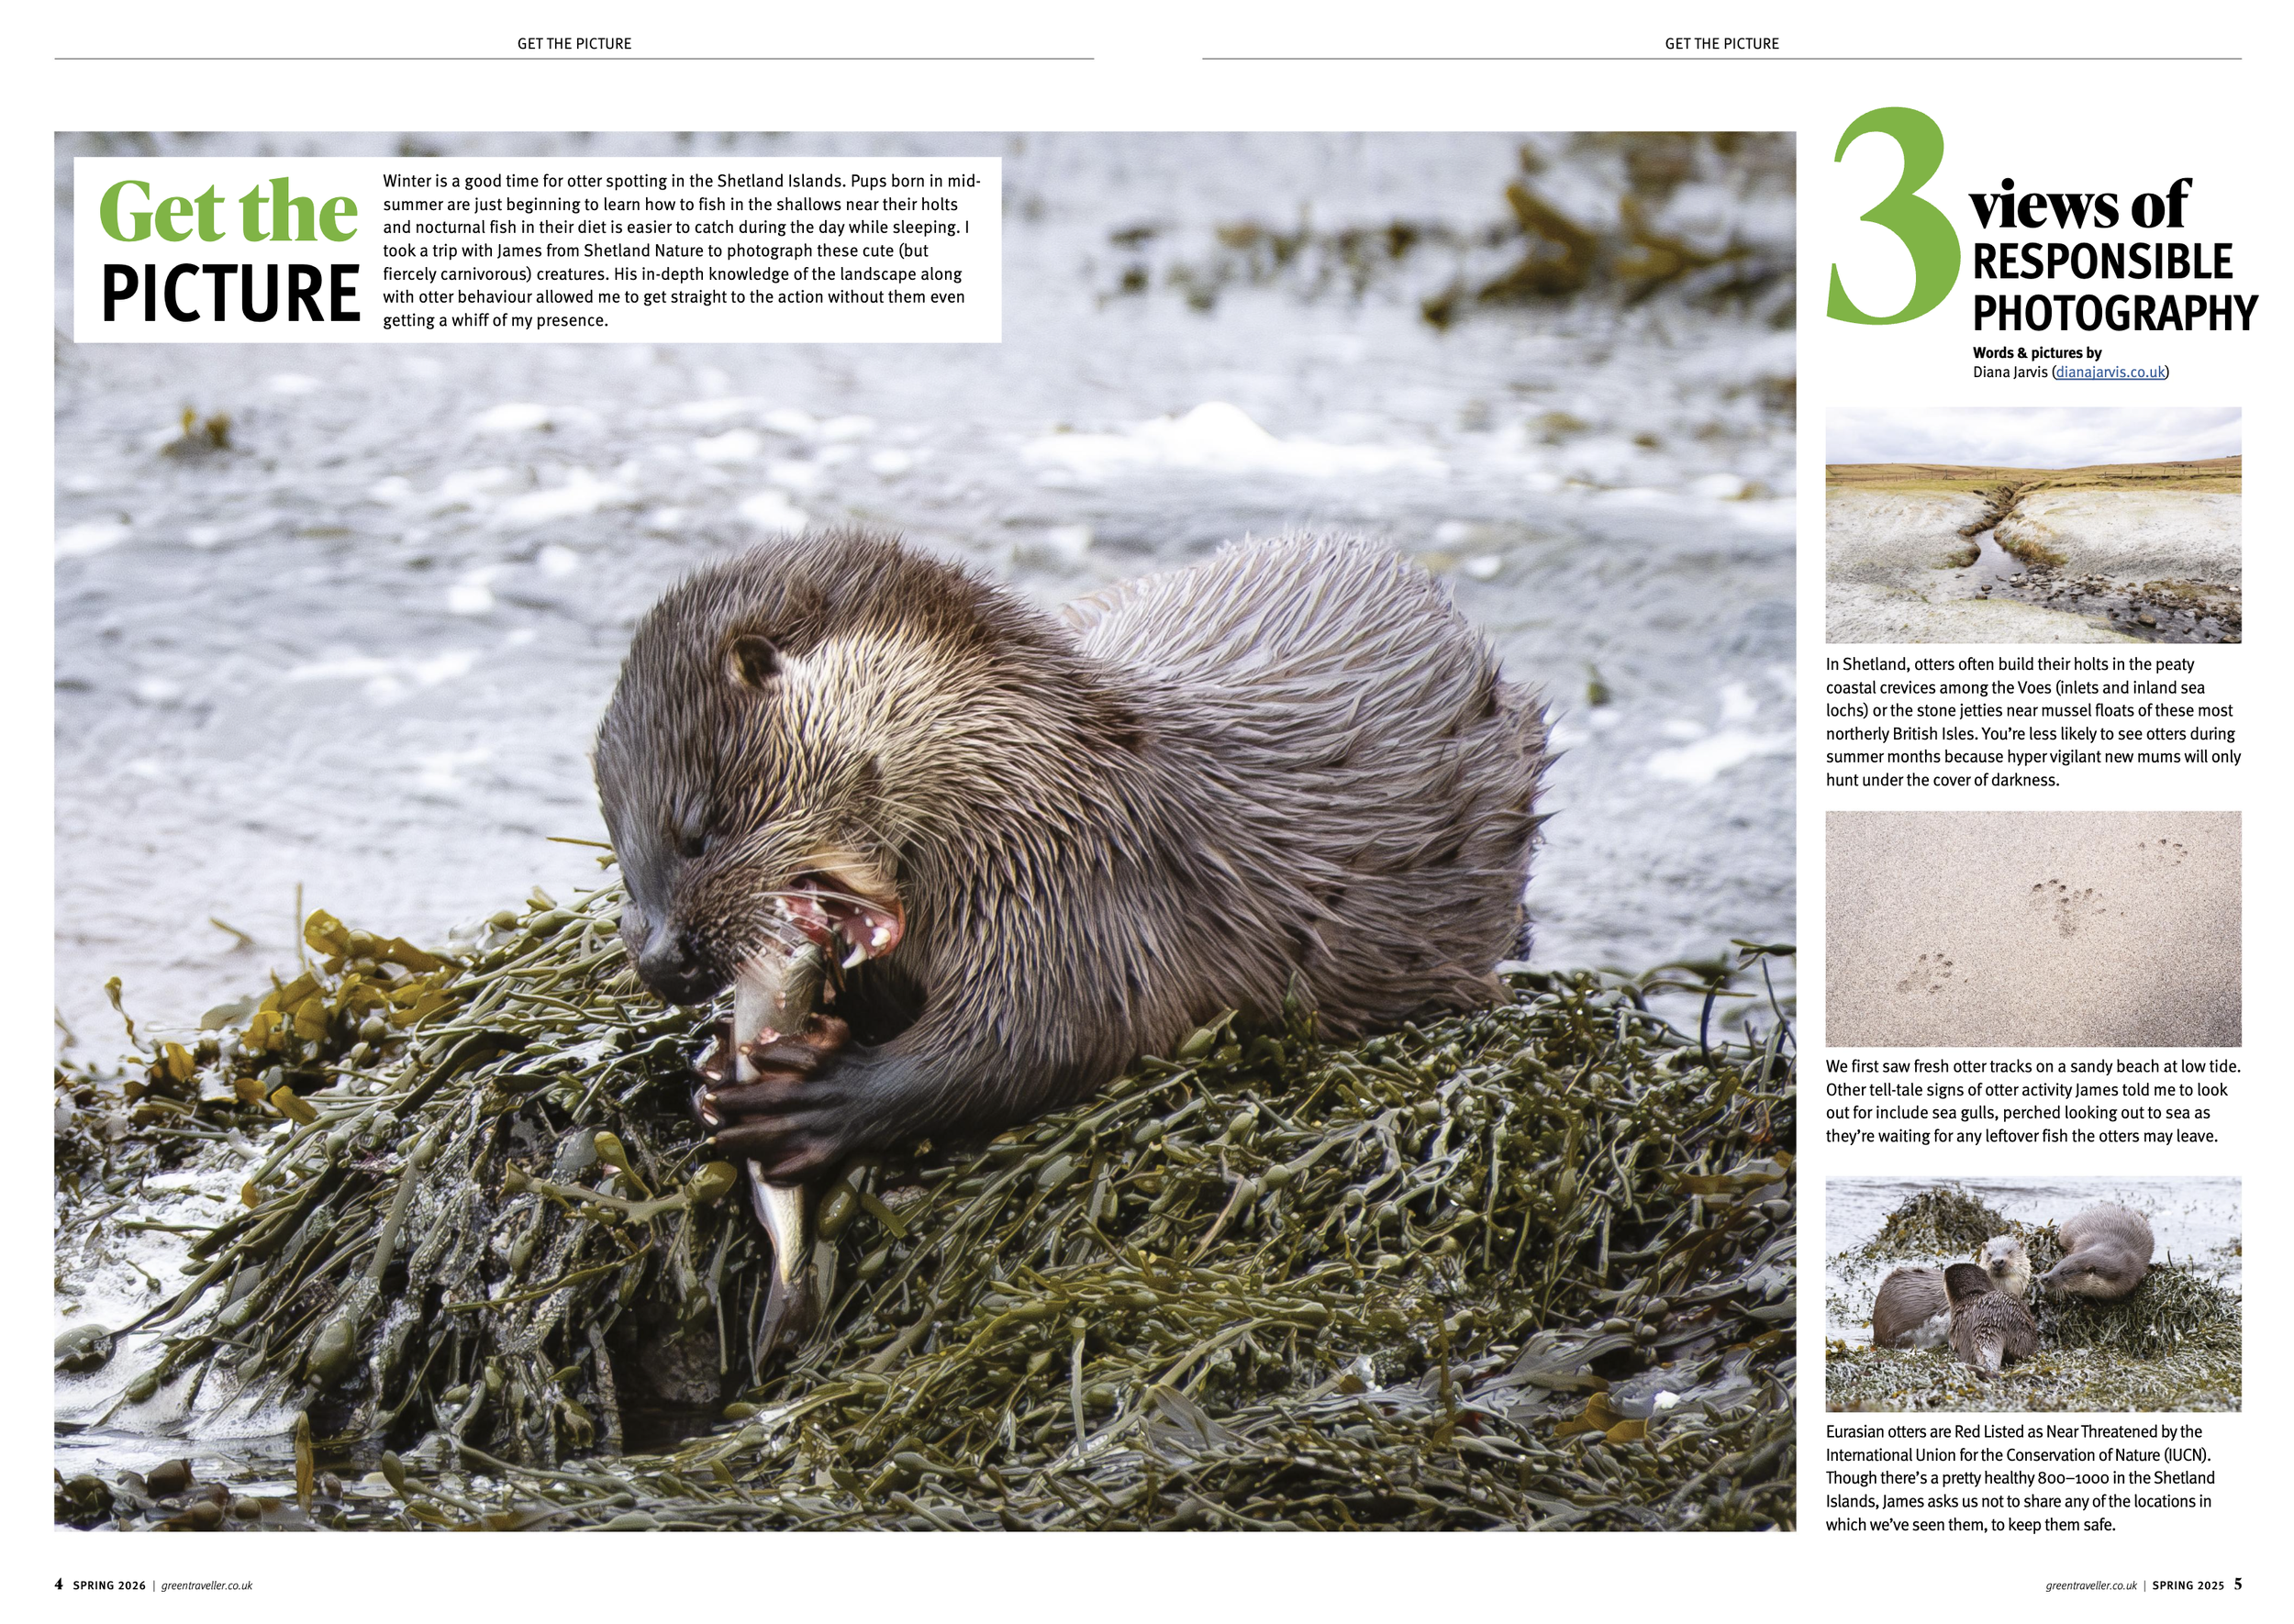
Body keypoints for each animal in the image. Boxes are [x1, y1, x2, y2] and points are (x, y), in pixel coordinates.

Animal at [594, 528, 1548, 1182]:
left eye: (701, 827)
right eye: (619, 845)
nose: (662, 960)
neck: (1027, 768)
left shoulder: (1080, 886)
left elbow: (1041, 1035)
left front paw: (819, 1097)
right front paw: (720, 1059)